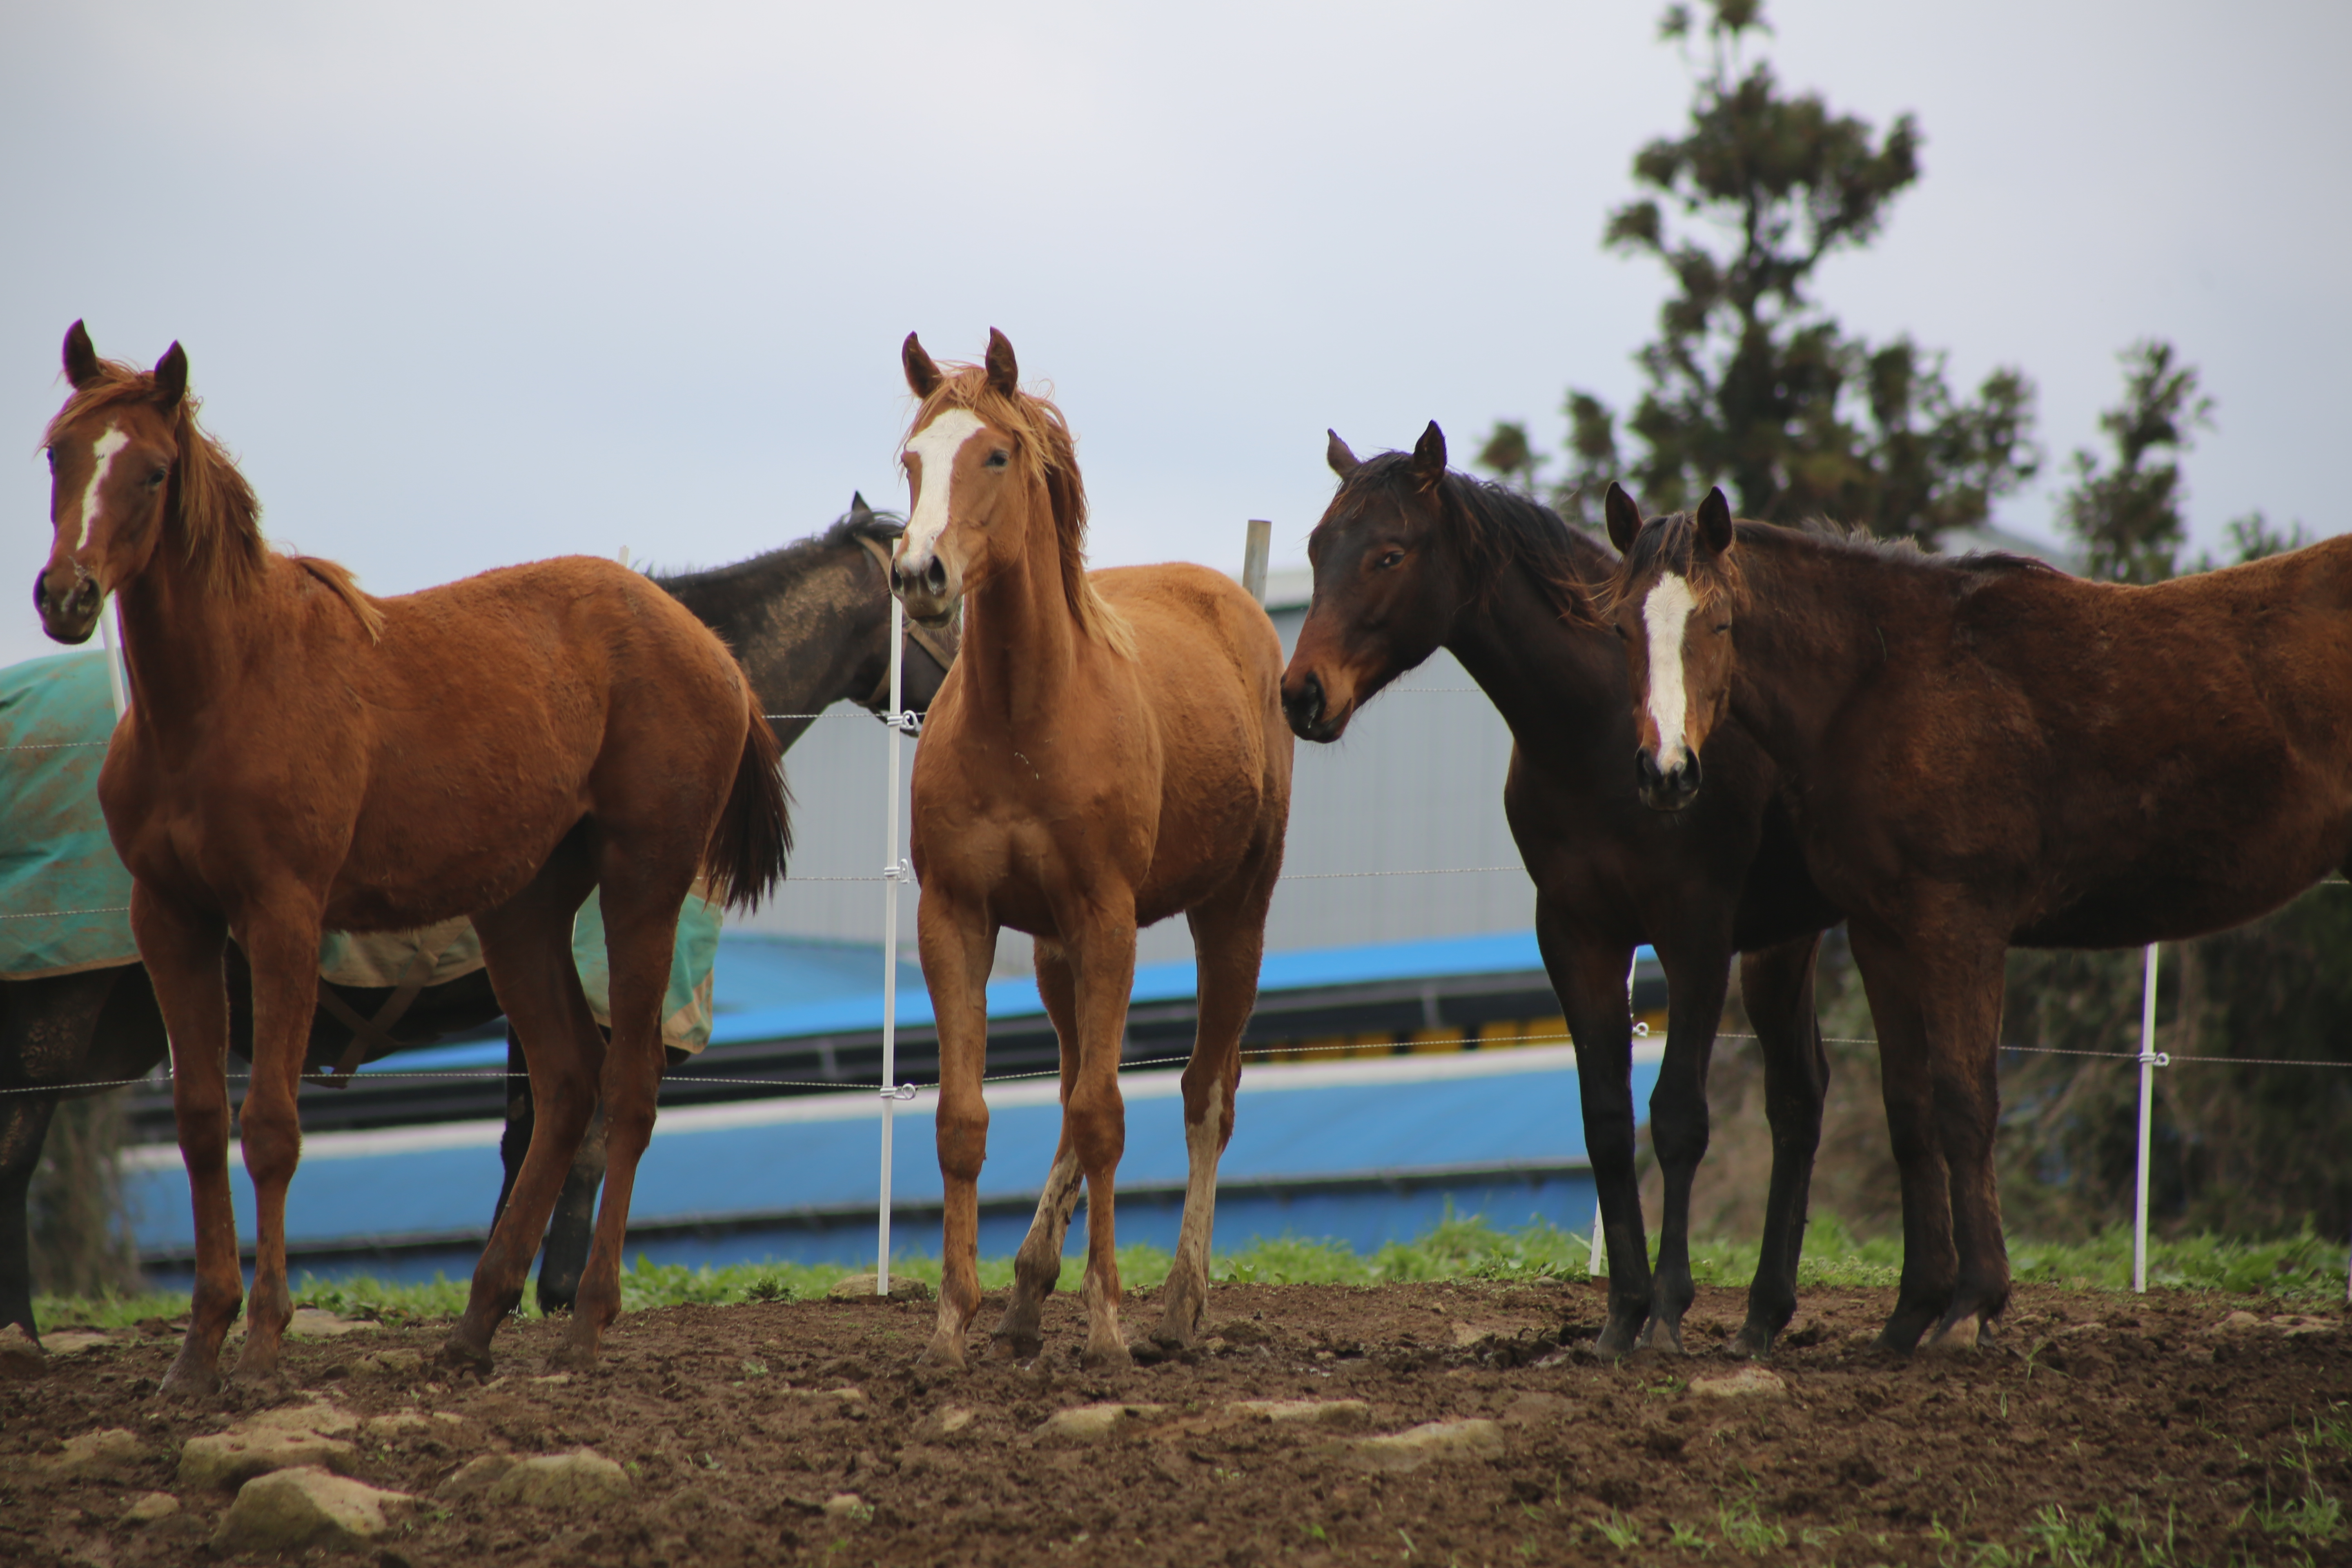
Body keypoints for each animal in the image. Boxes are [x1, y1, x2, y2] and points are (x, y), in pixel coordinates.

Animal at [34, 324, 790, 1392]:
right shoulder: (170, 919)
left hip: (642, 883)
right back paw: (476, 1322)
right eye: (59, 454)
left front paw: (262, 1338)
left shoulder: (282, 914)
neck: (221, 691)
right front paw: (197, 1347)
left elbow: (271, 1127)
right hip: (522, 908)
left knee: (630, 1087)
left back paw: (585, 1323)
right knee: (567, 1080)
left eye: (150, 471)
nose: (66, 595)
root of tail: (714, 651)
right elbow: (199, 1120)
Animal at [889, 334, 1298, 1373]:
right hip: (1053, 953)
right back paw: (1029, 1293)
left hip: (1232, 914)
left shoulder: (1108, 918)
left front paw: (1109, 1322)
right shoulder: (957, 917)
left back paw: (1178, 1303)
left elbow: (1108, 1116)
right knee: (1083, 1079)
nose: (919, 574)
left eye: (995, 455)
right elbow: (967, 1121)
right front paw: (951, 1322)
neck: (1024, 716)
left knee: (1206, 1093)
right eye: (912, 461)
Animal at [1289, 430, 1834, 1363]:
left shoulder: (1695, 933)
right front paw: (1621, 1316)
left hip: (1796, 940)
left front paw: (1668, 1312)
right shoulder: (1579, 935)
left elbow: (1677, 1119)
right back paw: (1765, 1314)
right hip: (1778, 943)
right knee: (1800, 1095)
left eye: (1389, 553)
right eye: (1321, 548)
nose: (1301, 693)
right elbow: (1607, 1123)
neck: (1603, 729)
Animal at [1608, 486, 2352, 1354]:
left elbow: (1965, 1103)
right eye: (1622, 626)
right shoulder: (1883, 932)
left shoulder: (1958, 924)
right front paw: (1912, 1310)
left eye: (1720, 623)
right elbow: (1911, 1111)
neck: (1884, 680)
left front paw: (1971, 1305)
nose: (1667, 773)